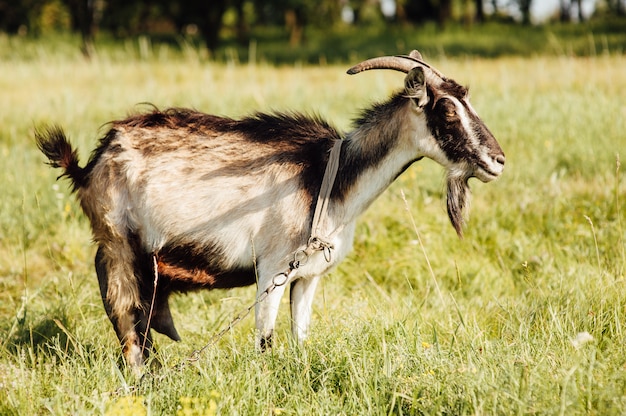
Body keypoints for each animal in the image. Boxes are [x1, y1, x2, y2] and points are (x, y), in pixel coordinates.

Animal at [37, 50, 502, 368]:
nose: (497, 160)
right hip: (117, 245)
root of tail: (90, 163)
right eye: (447, 111)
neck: (327, 179)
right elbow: (265, 340)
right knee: (127, 322)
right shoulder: (271, 269)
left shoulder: (309, 276)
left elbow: (300, 337)